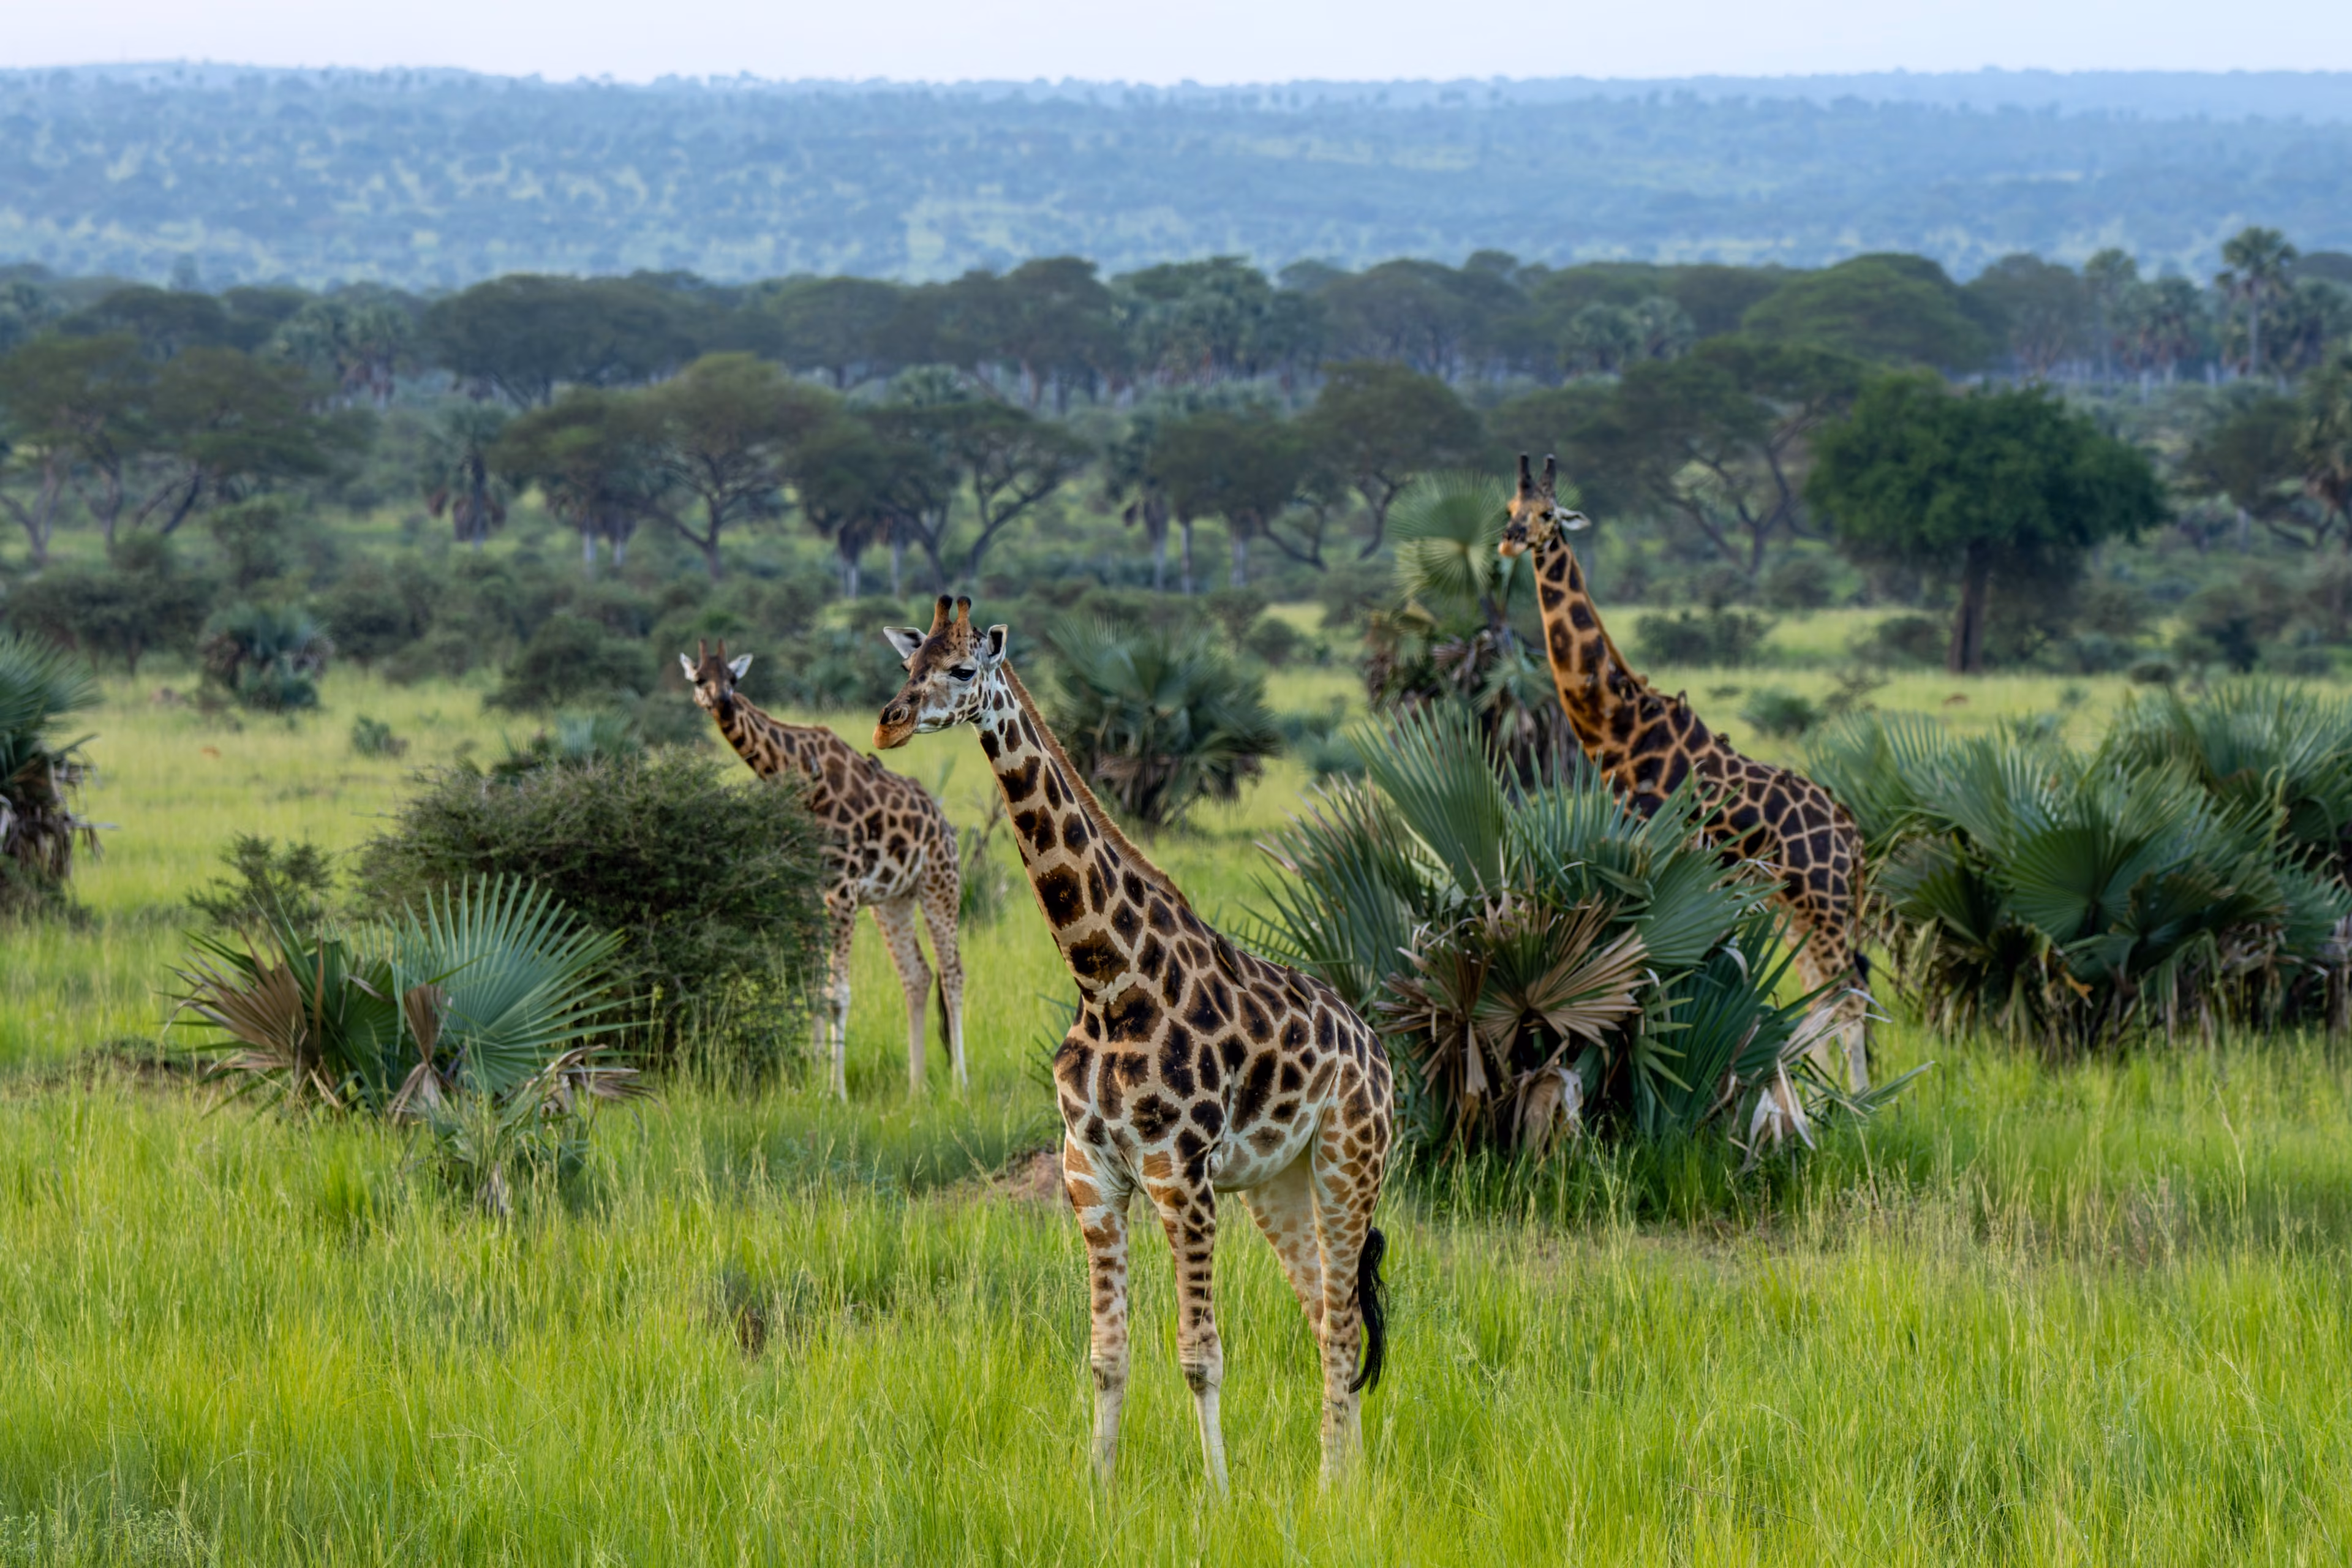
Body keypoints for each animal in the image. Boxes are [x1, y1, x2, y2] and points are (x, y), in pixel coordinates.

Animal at [680, 638, 966, 1099]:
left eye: (734, 678)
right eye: (699, 679)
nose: (721, 702)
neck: (794, 775)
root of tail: (944, 824)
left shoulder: (842, 888)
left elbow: (838, 994)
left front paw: (838, 1092)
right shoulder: (807, 891)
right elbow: (813, 986)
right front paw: (813, 1082)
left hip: (941, 884)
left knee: (953, 974)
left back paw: (960, 1083)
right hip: (894, 900)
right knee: (917, 976)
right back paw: (916, 1087)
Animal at [875, 596, 1394, 1489]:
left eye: (962, 668)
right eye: (910, 664)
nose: (889, 723)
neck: (1106, 980)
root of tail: (1382, 1055)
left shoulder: (1180, 1175)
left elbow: (1200, 1354)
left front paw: (1219, 1496)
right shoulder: (1091, 1171)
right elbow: (1106, 1355)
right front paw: (1099, 1487)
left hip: (1349, 1161)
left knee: (1342, 1320)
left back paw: (1334, 1488)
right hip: (1278, 1184)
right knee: (1327, 1309)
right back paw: (1345, 1480)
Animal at [1499, 455, 1873, 1096]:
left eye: (1547, 513)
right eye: (1510, 508)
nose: (1510, 539)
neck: (1622, 734)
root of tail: (1851, 838)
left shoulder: (1660, 856)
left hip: (1825, 904)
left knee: (1849, 999)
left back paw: (1862, 1106)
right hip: (1796, 910)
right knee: (1825, 1000)